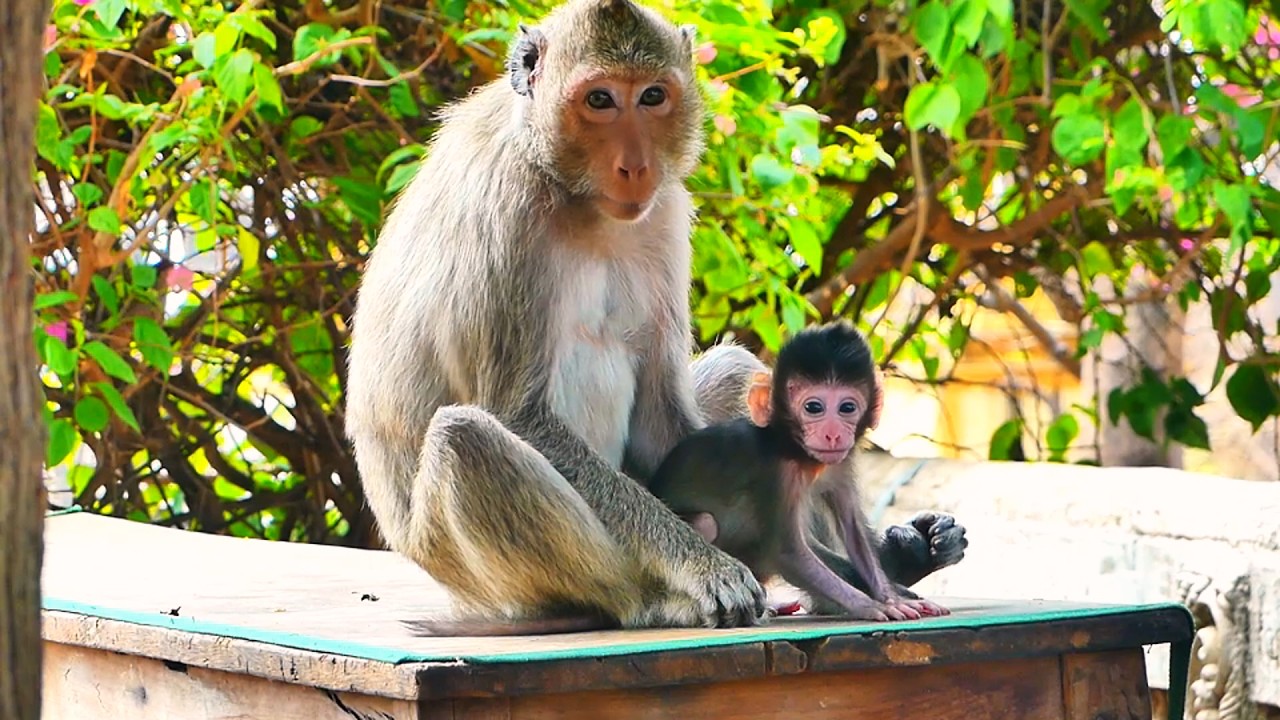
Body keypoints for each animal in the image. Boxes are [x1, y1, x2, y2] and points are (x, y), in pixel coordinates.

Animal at [650, 322, 949, 622]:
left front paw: (891, 596)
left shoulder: (840, 464)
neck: (800, 454)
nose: (832, 434)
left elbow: (854, 532)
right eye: (813, 407)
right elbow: (788, 553)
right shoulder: (776, 476)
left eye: (847, 407)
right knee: (709, 524)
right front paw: (870, 605)